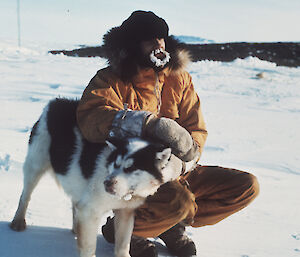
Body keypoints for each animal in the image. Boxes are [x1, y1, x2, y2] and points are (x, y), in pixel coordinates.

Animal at [9, 97, 183, 256]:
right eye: (115, 164)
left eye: (130, 168)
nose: (107, 183)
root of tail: (56, 102)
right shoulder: (91, 211)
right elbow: (88, 247)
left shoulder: (125, 213)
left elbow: (123, 245)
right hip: (35, 166)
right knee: (25, 195)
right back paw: (18, 220)